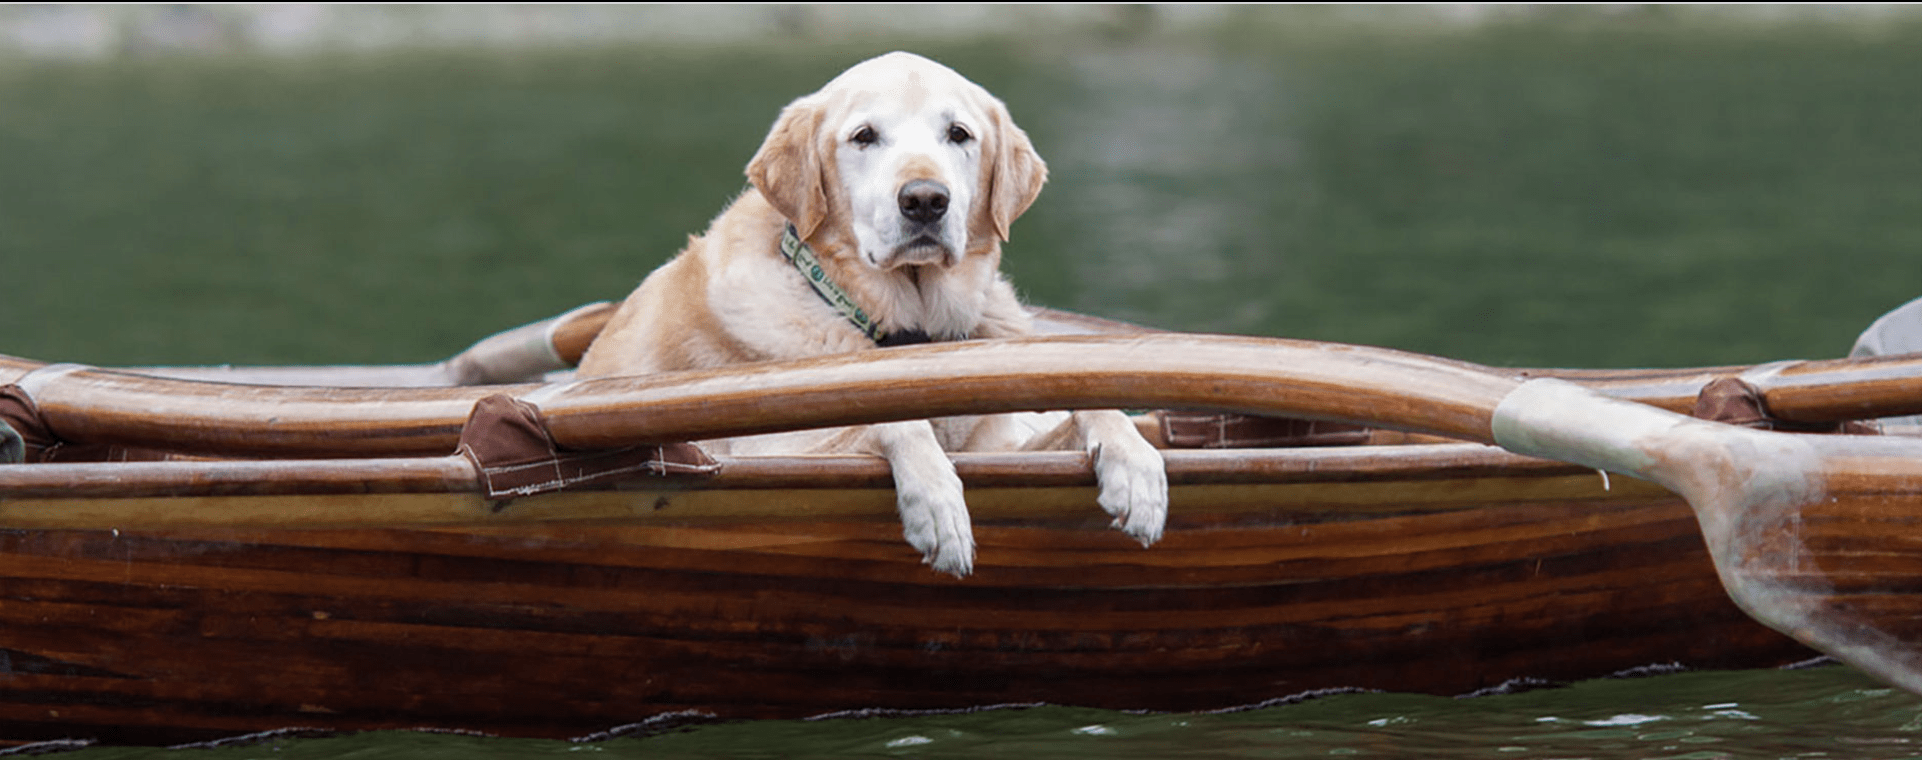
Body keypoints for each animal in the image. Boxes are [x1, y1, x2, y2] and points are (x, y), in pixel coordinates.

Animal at [572, 52, 1168, 577]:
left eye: (958, 134)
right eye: (864, 136)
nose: (925, 200)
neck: (911, 332)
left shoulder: (1003, 447)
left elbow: (1091, 407)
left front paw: (1136, 465)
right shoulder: (775, 449)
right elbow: (891, 420)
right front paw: (938, 504)